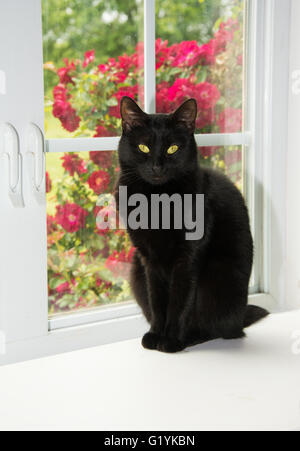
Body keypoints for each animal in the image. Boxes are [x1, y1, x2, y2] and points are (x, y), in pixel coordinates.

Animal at [116, 97, 268, 354]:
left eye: (173, 149)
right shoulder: (148, 260)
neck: (157, 199)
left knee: (219, 328)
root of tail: (241, 316)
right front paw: (155, 334)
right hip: (136, 272)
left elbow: (179, 302)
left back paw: (190, 337)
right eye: (144, 148)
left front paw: (170, 340)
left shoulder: (187, 258)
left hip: (216, 277)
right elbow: (157, 301)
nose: (157, 167)